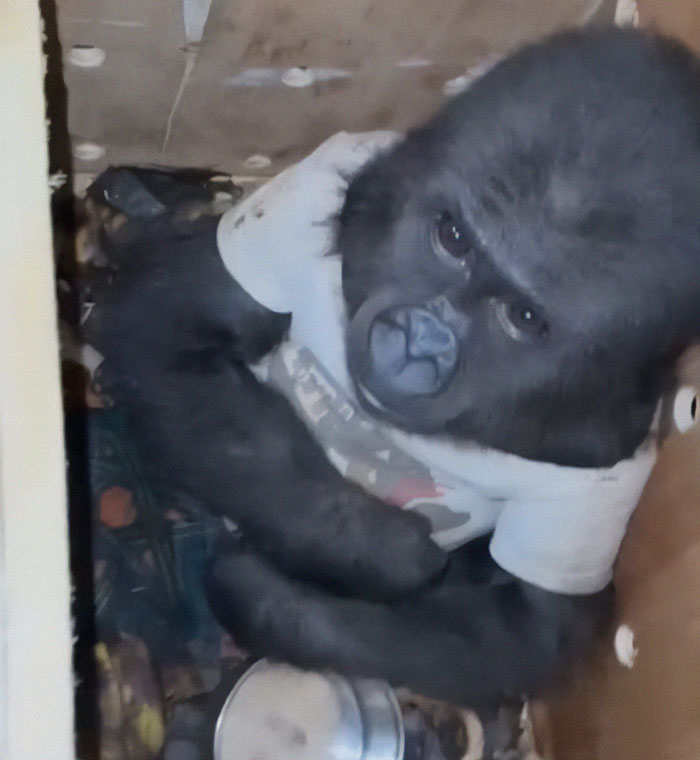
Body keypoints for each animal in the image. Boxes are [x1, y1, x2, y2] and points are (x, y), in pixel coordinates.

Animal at [85, 29, 700, 708]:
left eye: (523, 317)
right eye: (452, 238)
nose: (415, 341)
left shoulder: (607, 480)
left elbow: (519, 630)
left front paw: (267, 597)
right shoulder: (306, 196)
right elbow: (170, 333)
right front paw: (378, 546)